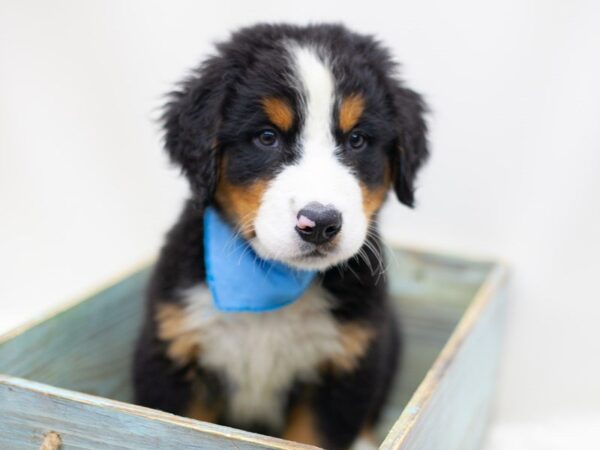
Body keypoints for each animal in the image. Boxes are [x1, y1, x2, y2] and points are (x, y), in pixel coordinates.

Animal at [134, 23, 428, 450]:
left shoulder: (343, 369)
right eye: (267, 137)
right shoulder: (174, 355)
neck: (270, 284)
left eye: (356, 139)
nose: (319, 223)